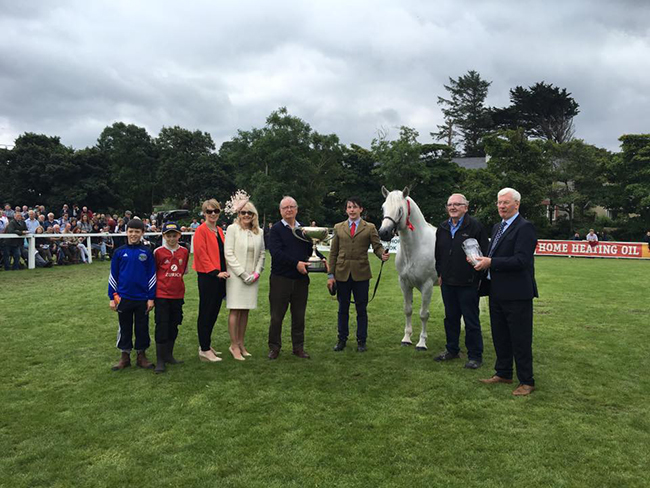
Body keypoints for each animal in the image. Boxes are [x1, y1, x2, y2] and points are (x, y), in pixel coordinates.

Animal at [378, 187, 438, 350]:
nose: (384, 233)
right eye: (383, 208)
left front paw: (422, 343)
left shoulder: (427, 285)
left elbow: (423, 314)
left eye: (400, 209)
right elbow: (408, 310)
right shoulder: (404, 283)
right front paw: (406, 338)